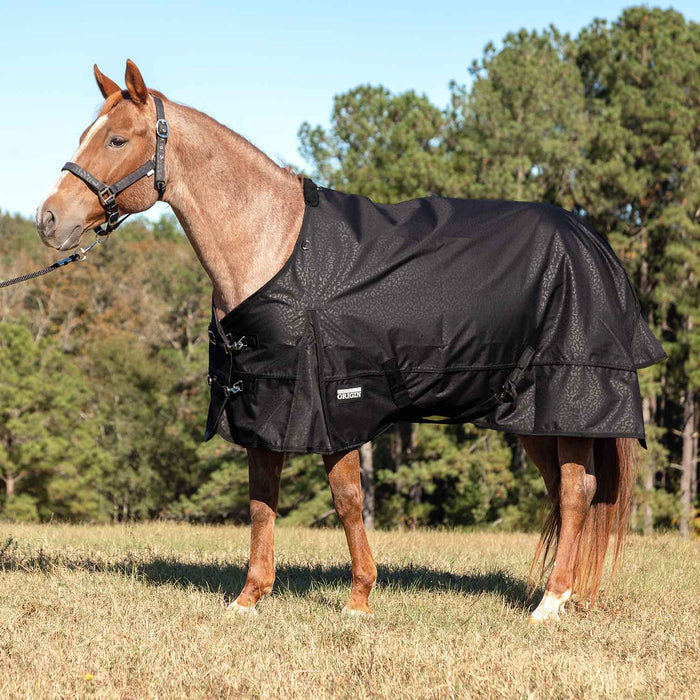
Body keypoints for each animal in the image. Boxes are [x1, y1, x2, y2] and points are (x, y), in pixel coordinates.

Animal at [36, 59, 644, 623]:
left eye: (117, 139)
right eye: (86, 133)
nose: (48, 219)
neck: (276, 247)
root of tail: (591, 241)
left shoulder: (337, 403)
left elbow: (348, 501)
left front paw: (359, 600)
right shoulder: (263, 403)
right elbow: (261, 503)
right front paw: (249, 599)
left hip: (566, 401)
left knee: (576, 492)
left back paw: (550, 603)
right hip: (529, 415)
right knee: (566, 494)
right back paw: (558, 596)